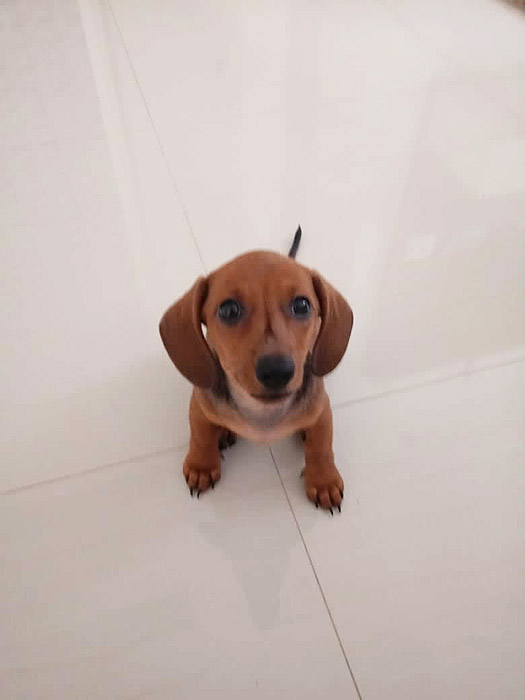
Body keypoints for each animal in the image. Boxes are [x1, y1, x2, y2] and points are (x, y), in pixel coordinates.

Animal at [159, 228, 353, 512]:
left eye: (302, 305)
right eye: (228, 309)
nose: (277, 371)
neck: (262, 412)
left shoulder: (322, 411)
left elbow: (321, 446)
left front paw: (323, 480)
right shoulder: (199, 405)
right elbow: (200, 435)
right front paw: (201, 465)